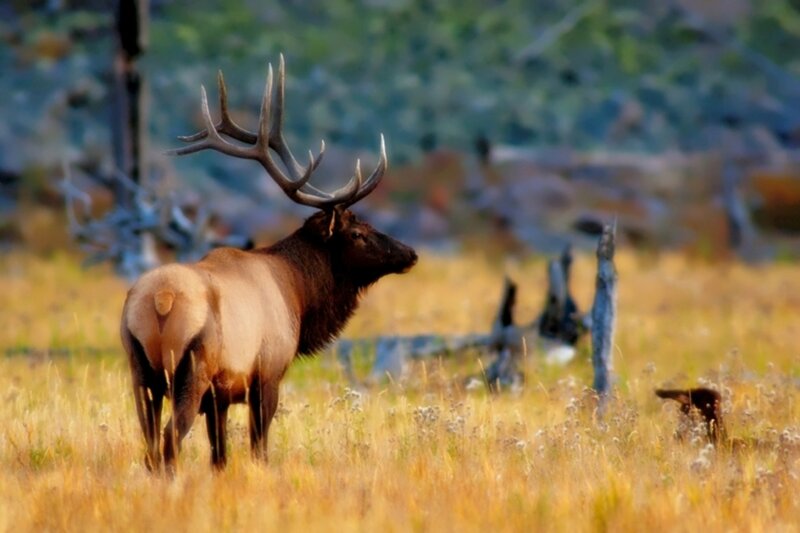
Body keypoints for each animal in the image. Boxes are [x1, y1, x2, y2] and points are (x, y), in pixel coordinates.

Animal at [120, 55, 417, 473]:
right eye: (358, 232)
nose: (410, 253)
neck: (297, 294)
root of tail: (161, 301)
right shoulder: (267, 375)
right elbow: (258, 449)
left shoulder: (220, 395)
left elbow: (220, 455)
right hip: (191, 370)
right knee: (169, 440)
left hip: (139, 371)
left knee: (148, 444)